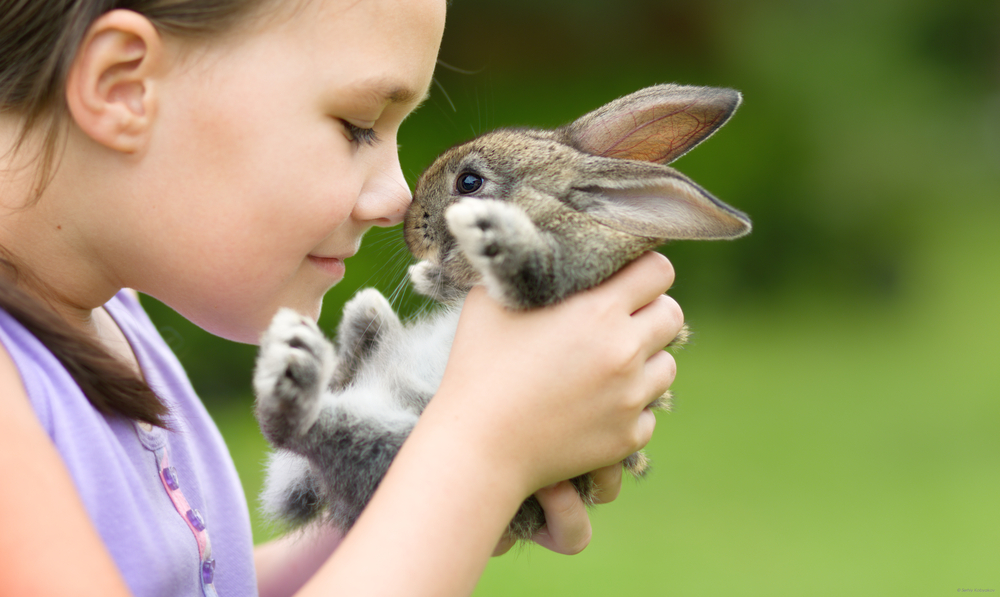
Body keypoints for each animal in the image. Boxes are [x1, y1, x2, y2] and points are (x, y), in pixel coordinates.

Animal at [254, 81, 752, 544]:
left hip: (409, 451)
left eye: (469, 183)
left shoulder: (563, 272)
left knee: (299, 427)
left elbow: (528, 266)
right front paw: (432, 272)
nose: (411, 227)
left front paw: (486, 234)